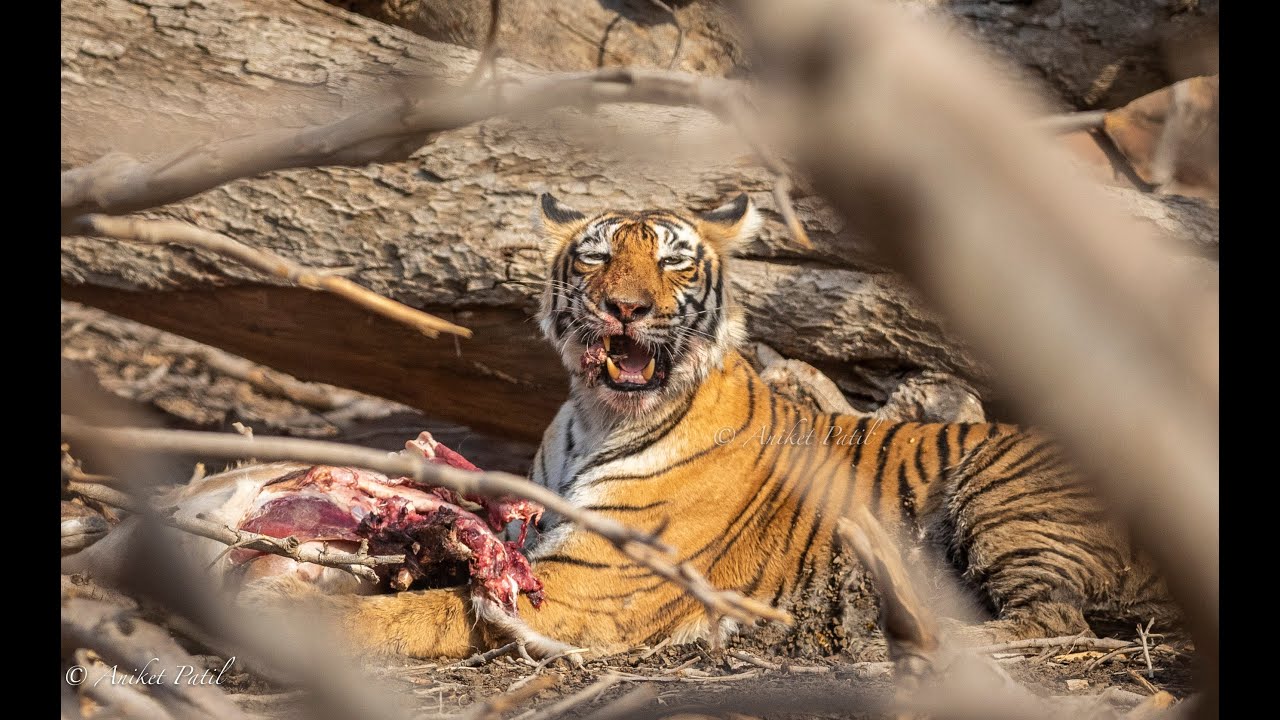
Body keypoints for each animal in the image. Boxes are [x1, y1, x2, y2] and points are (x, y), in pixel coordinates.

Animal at [258, 193, 1176, 659]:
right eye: (596, 258)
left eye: (672, 262)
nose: (626, 308)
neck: (595, 415)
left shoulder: (586, 584)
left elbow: (420, 615)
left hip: (1002, 498)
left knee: (1053, 620)